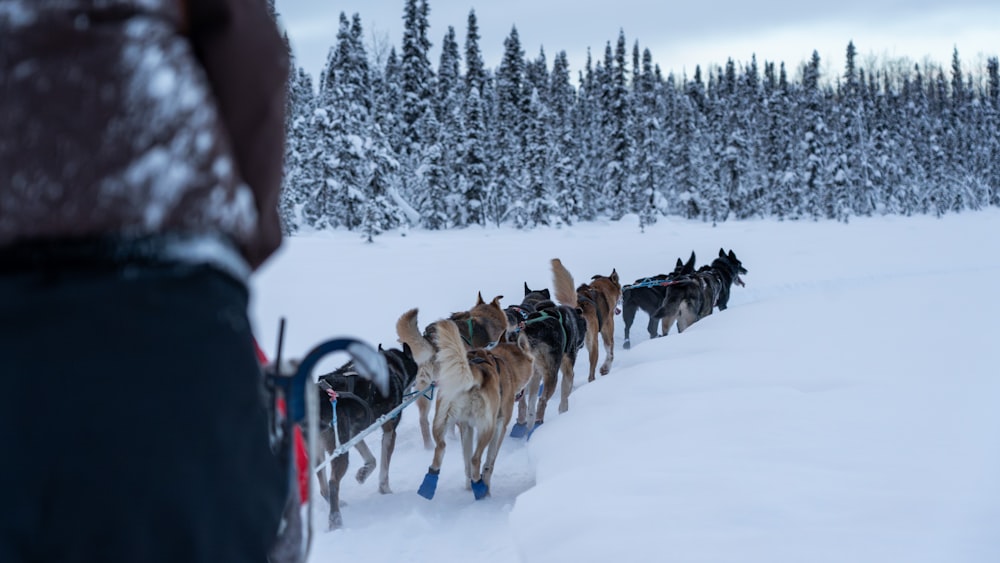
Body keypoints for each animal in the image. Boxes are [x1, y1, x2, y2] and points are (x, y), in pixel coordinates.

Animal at [316, 342, 418, 532]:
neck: (391, 366)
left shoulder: (356, 433)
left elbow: (372, 460)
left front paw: (362, 474)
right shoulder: (389, 430)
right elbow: (383, 466)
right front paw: (385, 490)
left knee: (322, 482)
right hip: (341, 449)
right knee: (333, 483)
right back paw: (335, 520)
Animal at [416, 320, 540, 500]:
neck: (505, 363)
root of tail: (474, 373)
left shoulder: (466, 426)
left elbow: (466, 461)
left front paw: (469, 487)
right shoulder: (499, 426)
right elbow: (489, 462)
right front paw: (483, 486)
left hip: (441, 423)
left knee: (441, 449)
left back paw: (429, 486)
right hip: (486, 428)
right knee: (476, 459)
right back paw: (480, 488)